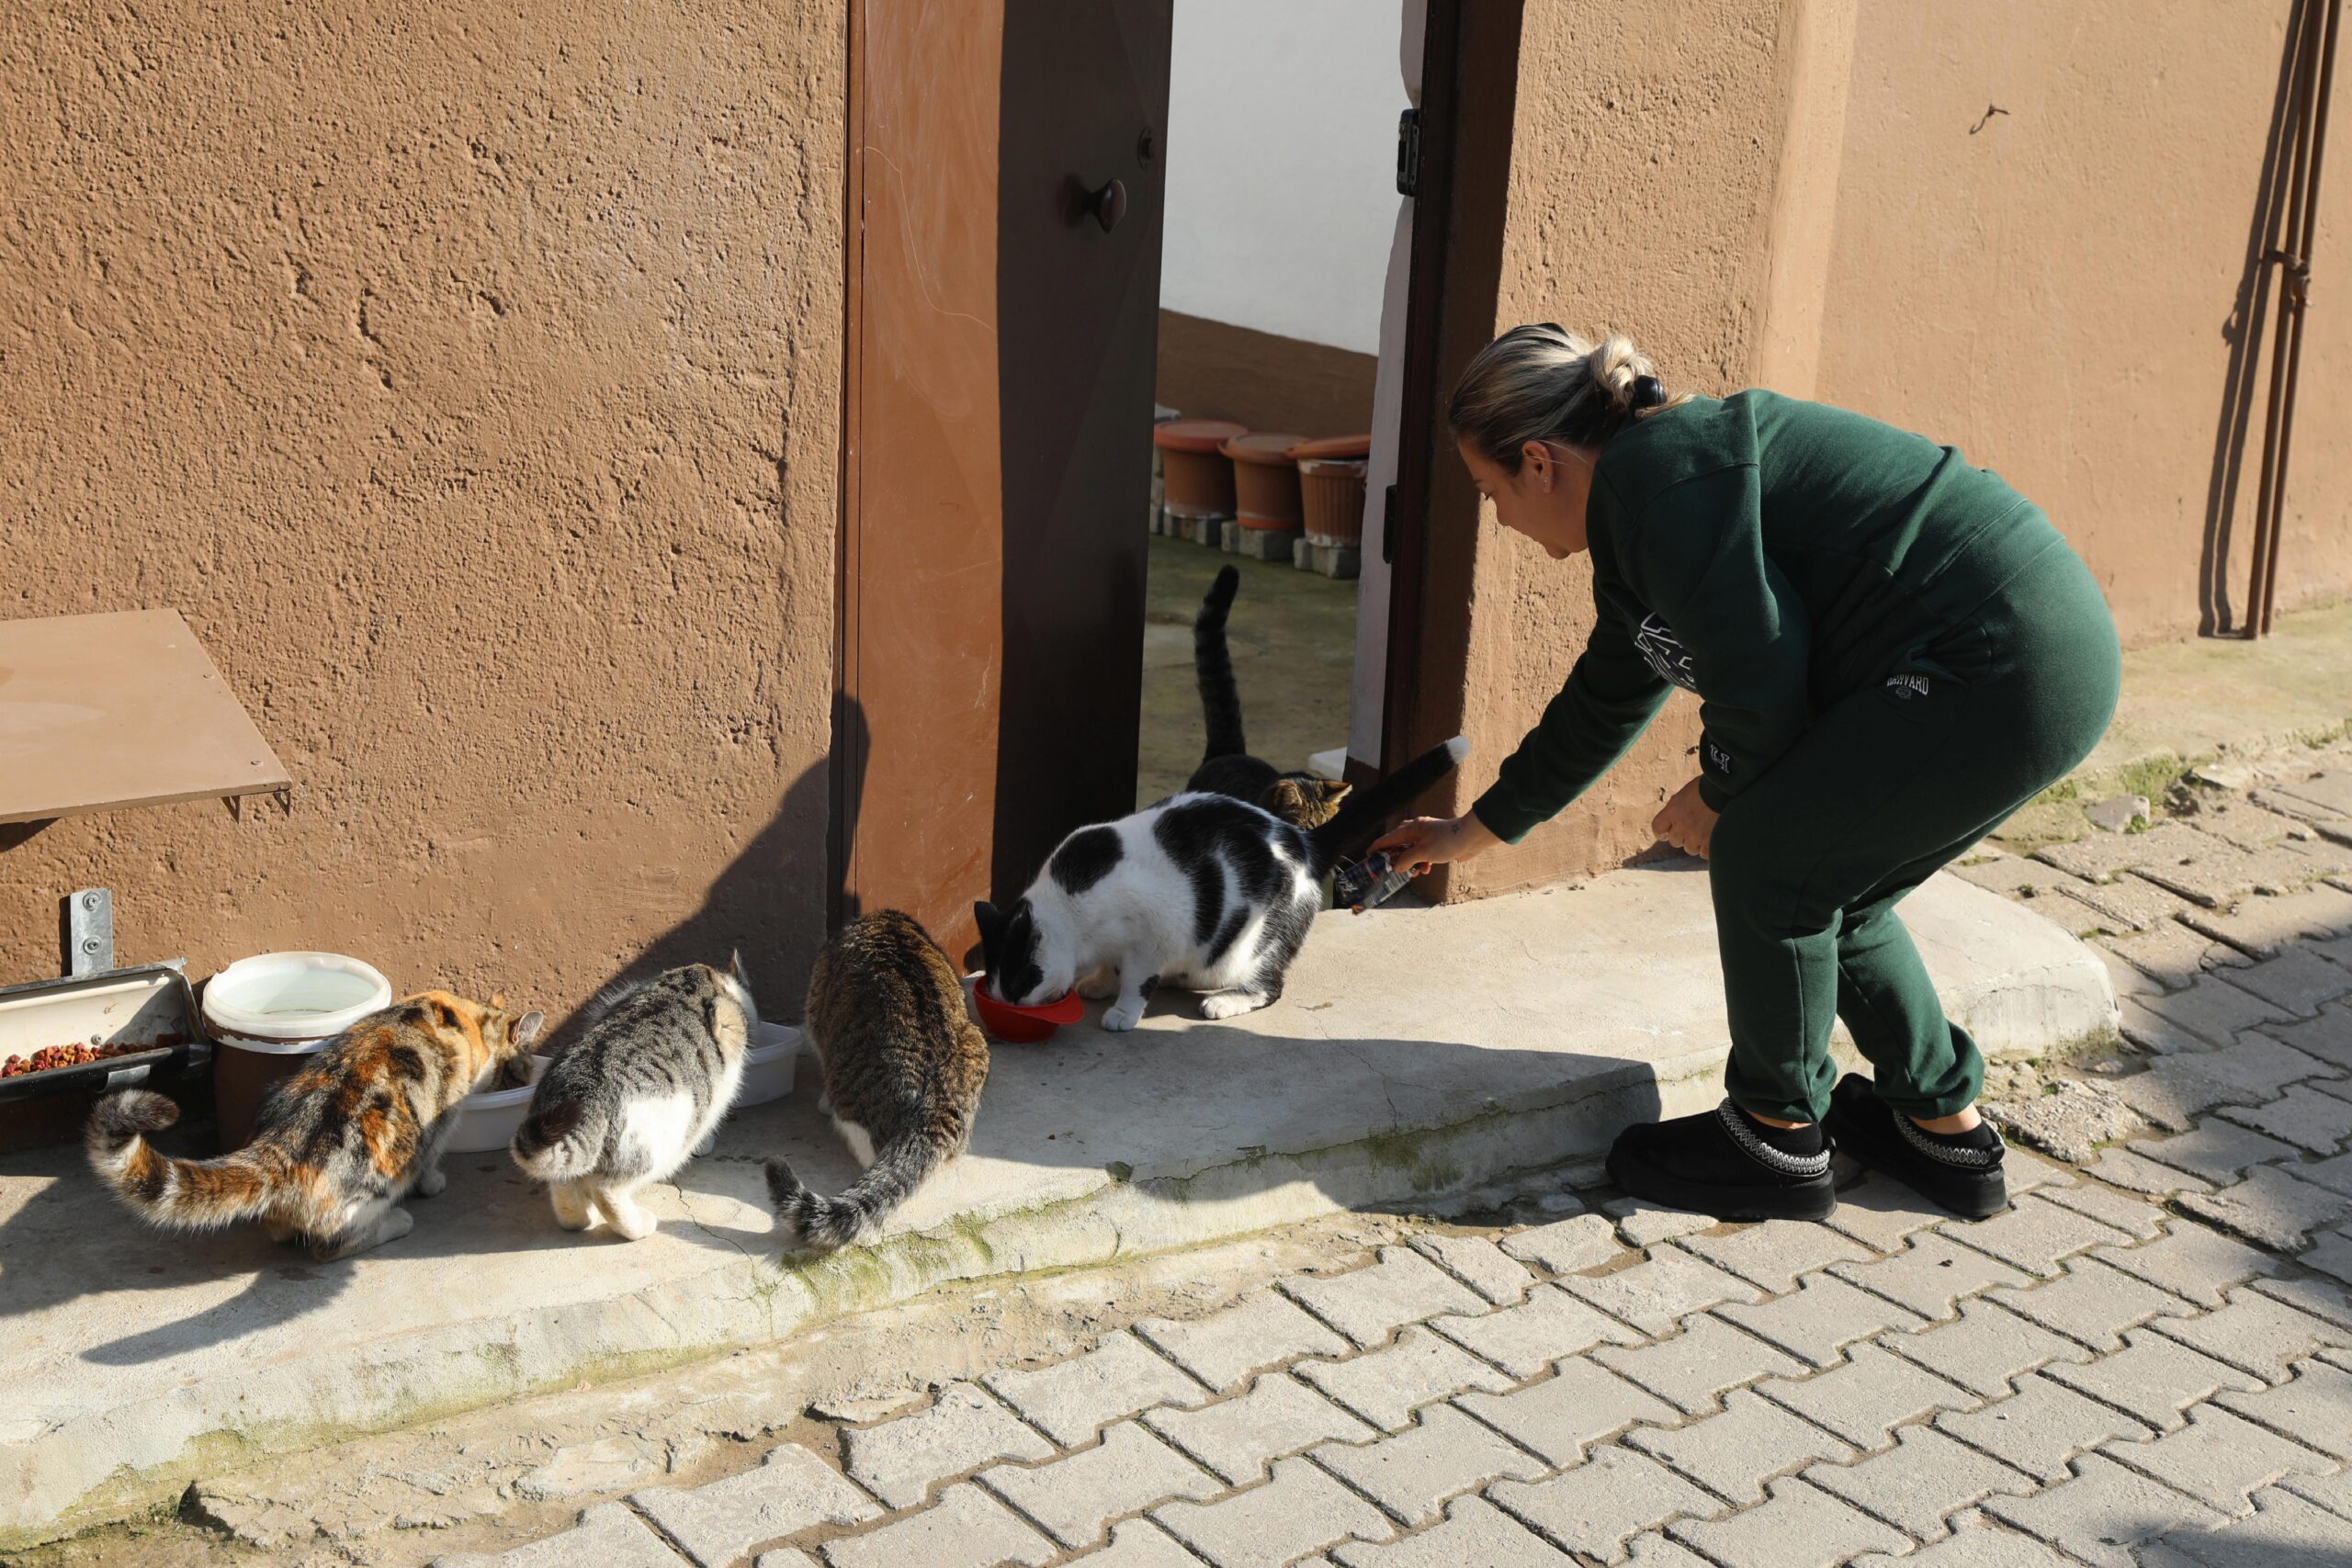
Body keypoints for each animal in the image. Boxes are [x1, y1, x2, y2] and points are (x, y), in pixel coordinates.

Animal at [85, 991, 540, 1259]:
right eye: (518, 1069)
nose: (516, 1078)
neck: (465, 1017)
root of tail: (281, 1148)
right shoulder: (442, 1119)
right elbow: (433, 1159)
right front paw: (433, 1184)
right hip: (387, 1167)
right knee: (330, 1245)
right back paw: (396, 1222)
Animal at [513, 959, 752, 1241]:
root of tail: (585, 1094)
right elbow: (709, 1119)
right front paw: (704, 1144)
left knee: (565, 1185)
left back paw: (582, 1218)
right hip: (656, 1143)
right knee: (607, 1190)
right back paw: (641, 1225)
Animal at [978, 733, 1467, 1029]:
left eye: (1020, 984)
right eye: (1002, 989)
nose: (1012, 1007)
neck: (1073, 909)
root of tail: (1301, 839)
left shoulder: (1155, 932)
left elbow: (1136, 978)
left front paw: (1122, 1010)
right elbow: (1111, 967)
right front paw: (1100, 981)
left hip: (1252, 945)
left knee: (1271, 987)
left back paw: (1224, 1000)